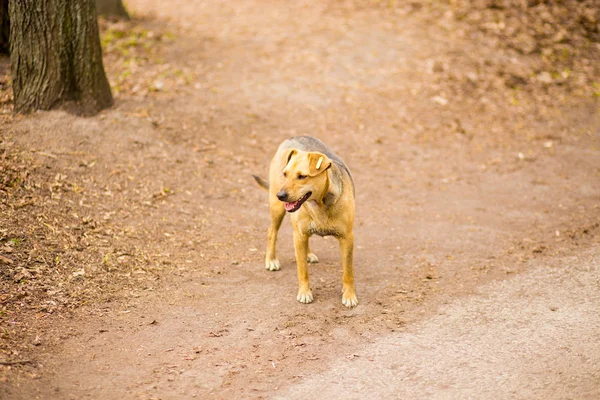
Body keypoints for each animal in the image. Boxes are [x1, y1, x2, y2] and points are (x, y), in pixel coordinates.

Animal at [252, 136, 356, 308]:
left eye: (302, 176)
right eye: (285, 174)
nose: (281, 195)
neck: (319, 203)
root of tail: (292, 138)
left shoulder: (347, 238)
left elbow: (348, 271)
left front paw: (349, 295)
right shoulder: (299, 236)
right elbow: (302, 270)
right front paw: (305, 293)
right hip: (277, 209)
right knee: (272, 231)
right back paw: (271, 260)